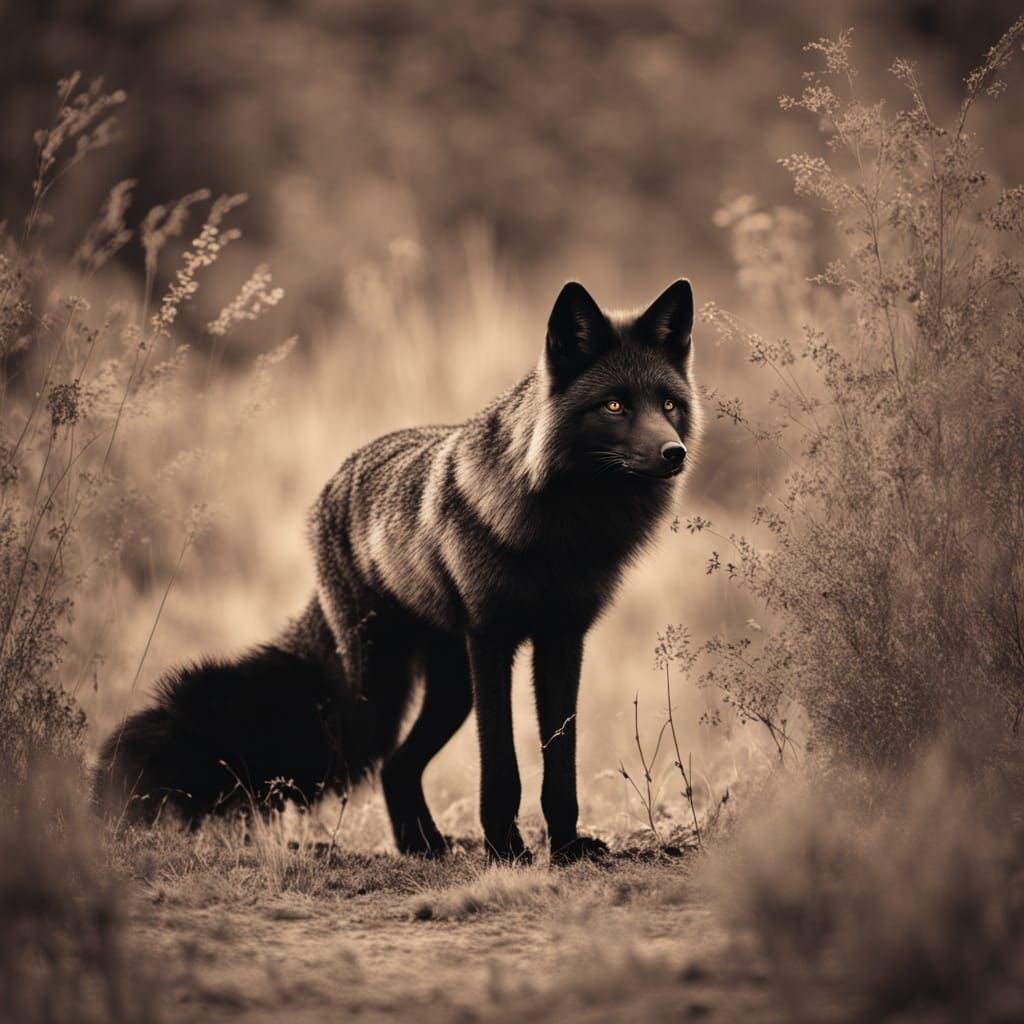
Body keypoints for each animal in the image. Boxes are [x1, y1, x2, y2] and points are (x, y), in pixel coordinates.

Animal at [96, 278, 698, 864]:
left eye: (668, 404)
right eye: (615, 405)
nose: (675, 453)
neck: (561, 531)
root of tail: (331, 489)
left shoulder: (563, 640)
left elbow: (561, 766)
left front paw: (567, 850)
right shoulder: (492, 640)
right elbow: (501, 770)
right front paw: (505, 852)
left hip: (449, 690)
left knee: (397, 765)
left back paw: (422, 846)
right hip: (381, 697)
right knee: (387, 757)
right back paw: (425, 845)